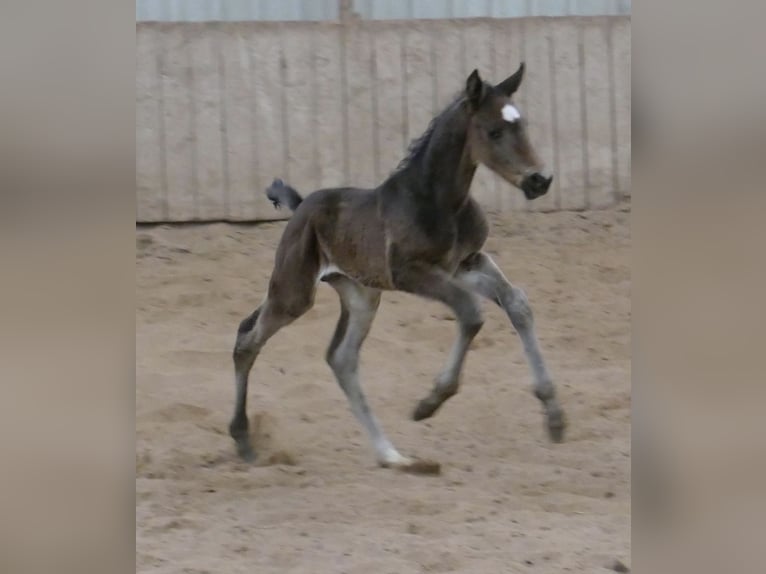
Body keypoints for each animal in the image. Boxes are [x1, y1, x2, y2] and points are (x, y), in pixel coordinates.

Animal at [230, 64, 565, 472]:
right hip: (294, 291)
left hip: (361, 295)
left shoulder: (467, 263)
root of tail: (301, 205)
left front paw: (554, 416)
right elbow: (470, 312)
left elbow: (516, 303)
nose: (540, 180)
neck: (439, 201)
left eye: (523, 124)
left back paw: (392, 455)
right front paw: (430, 402)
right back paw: (244, 441)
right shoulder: (410, 272)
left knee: (341, 358)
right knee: (248, 340)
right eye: (494, 131)